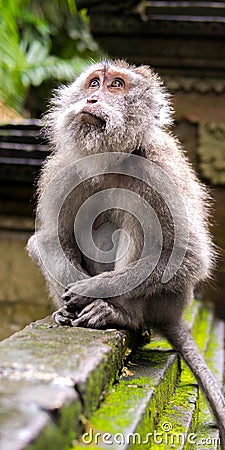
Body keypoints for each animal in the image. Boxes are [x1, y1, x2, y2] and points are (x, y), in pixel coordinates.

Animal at [27, 60, 225, 446]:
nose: (92, 98)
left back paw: (122, 316)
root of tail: (172, 314)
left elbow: (190, 256)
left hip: (164, 299)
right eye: (94, 83)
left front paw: (91, 292)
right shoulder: (62, 171)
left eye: (116, 85)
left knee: (134, 222)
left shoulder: (160, 169)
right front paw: (73, 300)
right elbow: (49, 241)